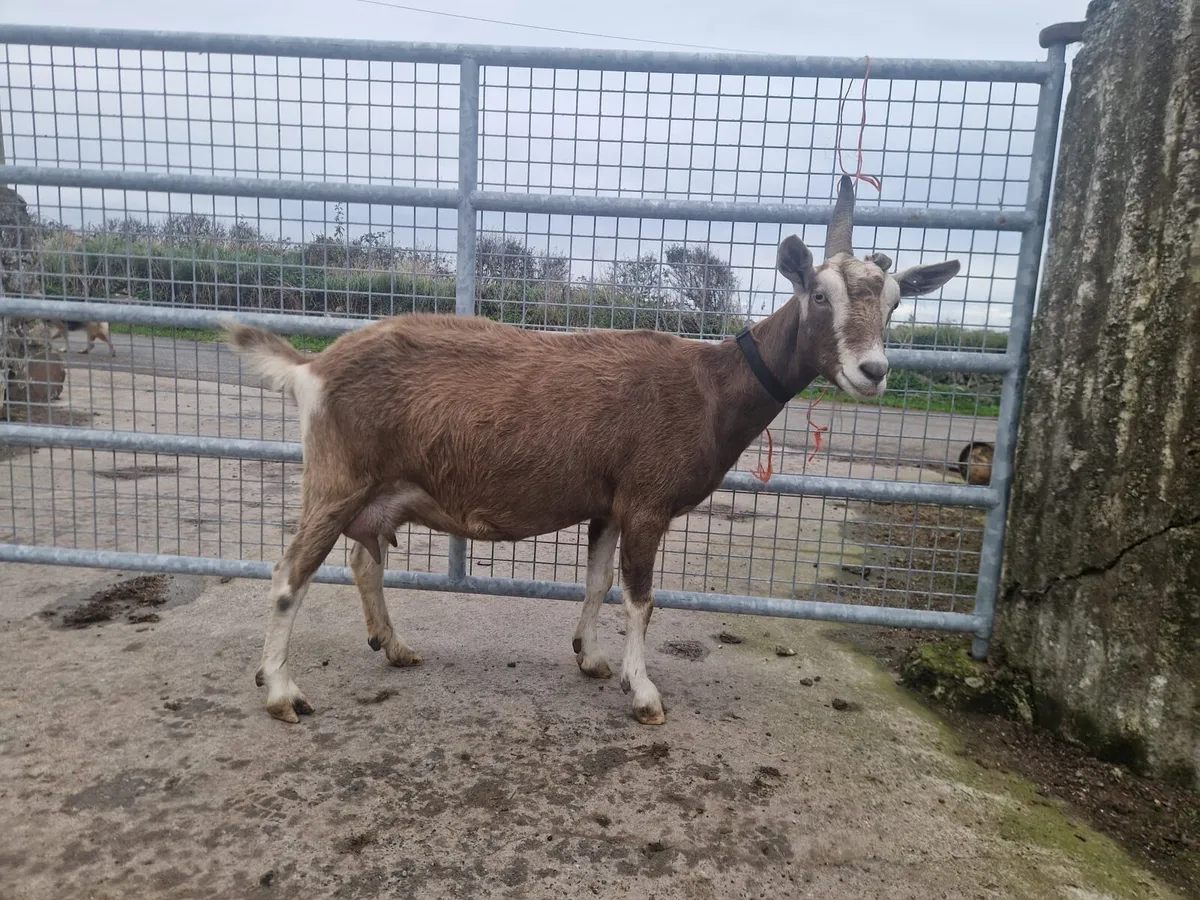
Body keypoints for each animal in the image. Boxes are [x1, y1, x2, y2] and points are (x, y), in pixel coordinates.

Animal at [224, 175, 961, 725]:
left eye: (895, 303)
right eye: (818, 294)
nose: (873, 371)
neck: (710, 386)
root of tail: (313, 367)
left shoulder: (609, 503)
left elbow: (599, 582)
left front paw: (591, 659)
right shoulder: (647, 502)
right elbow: (642, 598)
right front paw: (645, 693)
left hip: (379, 489)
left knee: (362, 560)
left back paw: (396, 648)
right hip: (338, 477)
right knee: (290, 574)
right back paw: (281, 691)